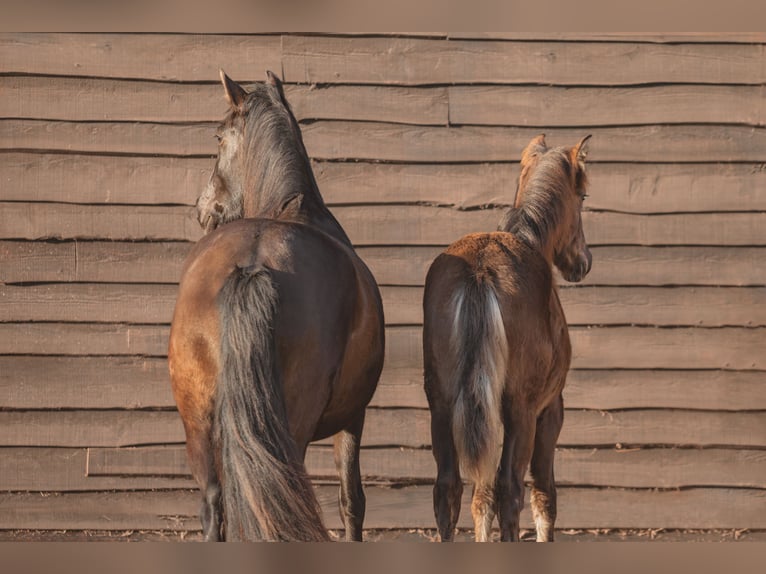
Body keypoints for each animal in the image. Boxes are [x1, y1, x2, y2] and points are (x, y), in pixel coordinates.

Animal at [168, 70, 385, 541]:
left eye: (217, 137)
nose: (202, 209)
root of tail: (254, 261)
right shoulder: (353, 417)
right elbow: (351, 501)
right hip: (292, 426)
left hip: (198, 422)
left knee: (214, 504)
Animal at [422, 134, 593, 542]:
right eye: (582, 196)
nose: (583, 262)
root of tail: (481, 271)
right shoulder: (550, 408)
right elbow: (543, 492)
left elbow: (480, 496)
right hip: (522, 409)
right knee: (510, 487)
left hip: (443, 403)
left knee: (449, 487)